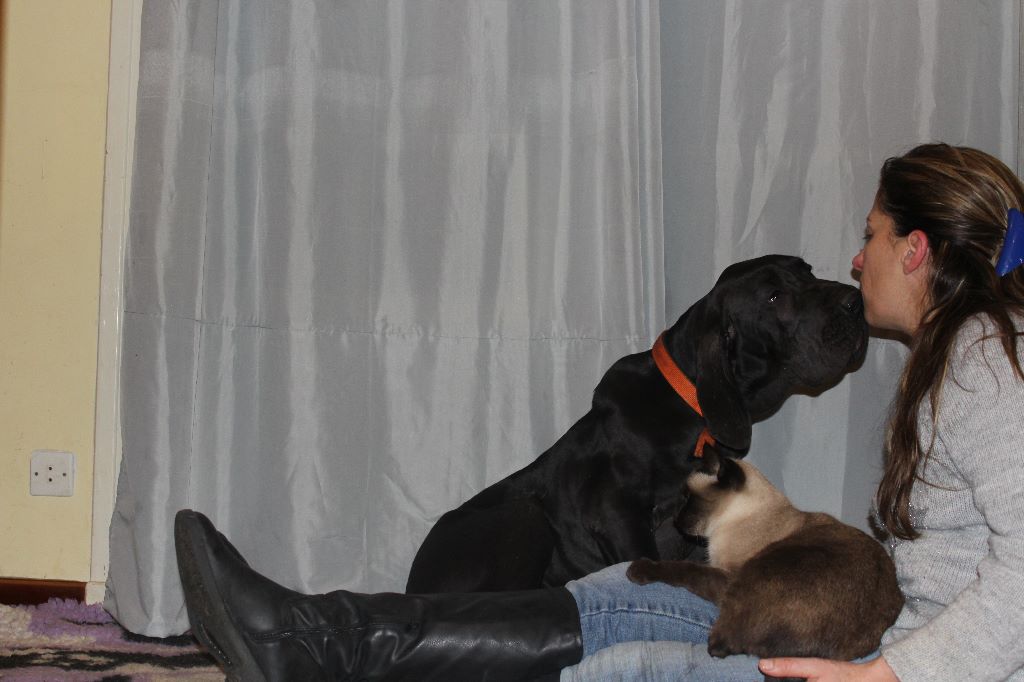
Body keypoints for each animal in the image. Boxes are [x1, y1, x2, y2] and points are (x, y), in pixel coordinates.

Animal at [405, 254, 868, 593]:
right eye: (774, 298)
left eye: (807, 270)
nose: (856, 300)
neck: (690, 408)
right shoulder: (615, 511)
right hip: (524, 513)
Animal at [627, 449, 903, 679]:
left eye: (688, 499)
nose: (675, 519)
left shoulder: (726, 576)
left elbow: (684, 569)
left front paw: (640, 568)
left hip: (755, 573)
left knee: (721, 645)